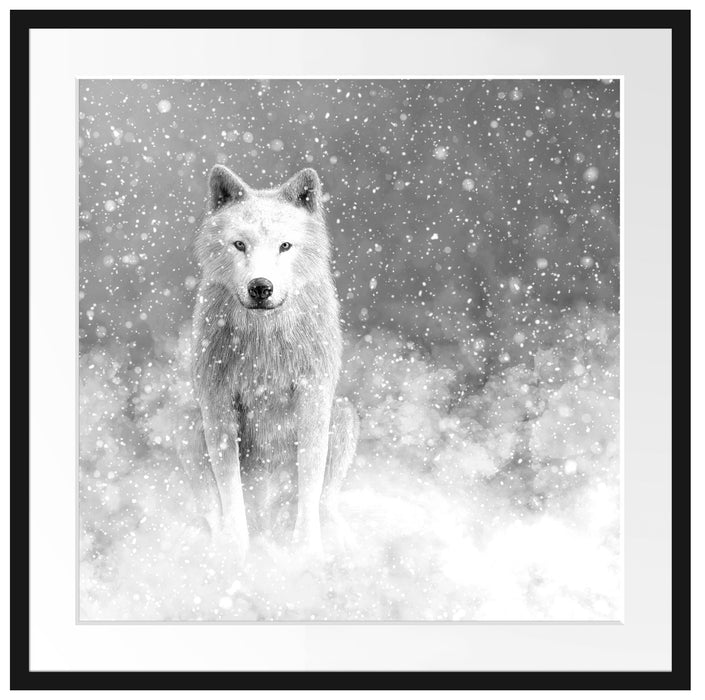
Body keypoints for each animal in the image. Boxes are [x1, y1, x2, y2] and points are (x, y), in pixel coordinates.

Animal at [187, 165, 359, 560]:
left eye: (285, 246)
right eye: (240, 245)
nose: (260, 287)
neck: (263, 340)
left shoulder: (313, 399)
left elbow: (310, 481)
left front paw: (306, 553)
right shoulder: (218, 404)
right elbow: (230, 488)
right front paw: (234, 554)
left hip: (343, 414)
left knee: (325, 500)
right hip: (192, 426)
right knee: (212, 507)